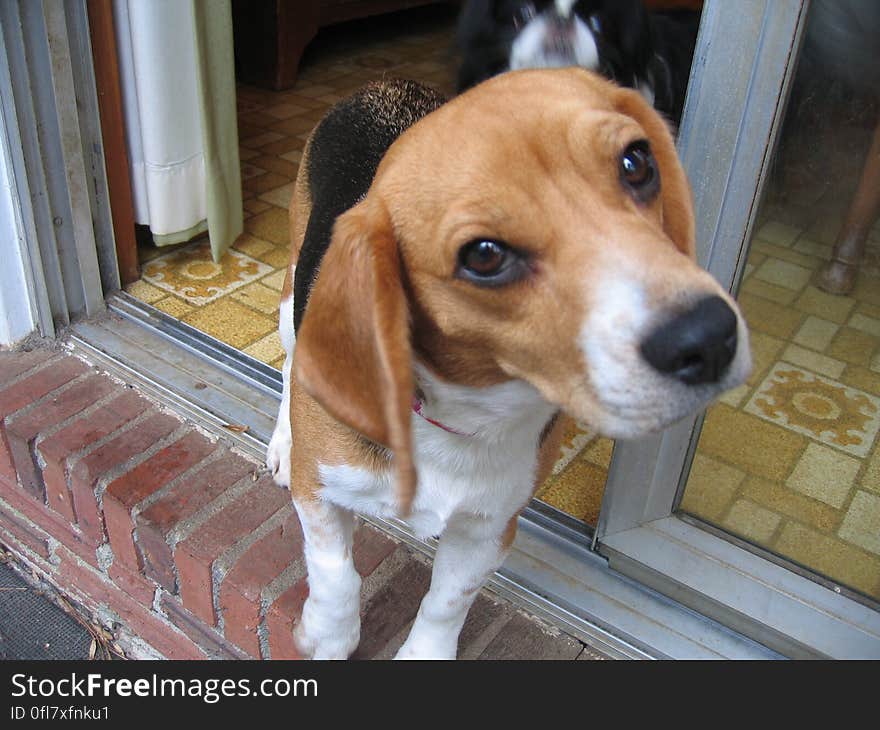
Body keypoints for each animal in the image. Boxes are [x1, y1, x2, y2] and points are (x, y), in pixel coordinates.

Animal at [264, 69, 752, 660]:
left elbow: (446, 602)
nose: (710, 336)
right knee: (291, 366)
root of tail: (386, 83)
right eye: (485, 255)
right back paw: (282, 442)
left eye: (637, 162)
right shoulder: (319, 495)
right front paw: (329, 637)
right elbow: (337, 573)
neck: (471, 420)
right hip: (293, 302)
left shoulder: (491, 529)